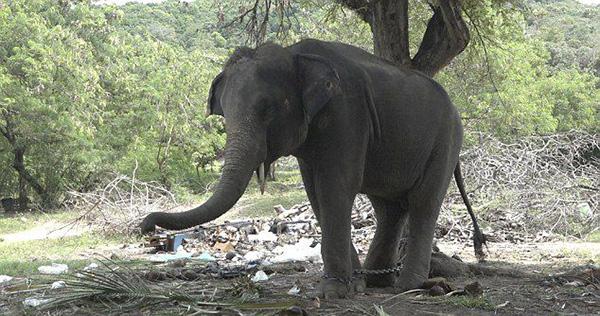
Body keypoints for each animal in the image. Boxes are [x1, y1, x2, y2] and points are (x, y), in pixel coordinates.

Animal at [142, 39, 488, 298]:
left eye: (269, 108)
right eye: (224, 113)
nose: (146, 226)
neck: (295, 54)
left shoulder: (347, 113)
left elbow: (336, 186)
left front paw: (333, 292)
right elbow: (316, 194)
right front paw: (353, 285)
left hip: (446, 142)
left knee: (423, 203)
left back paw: (409, 287)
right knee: (389, 208)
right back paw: (378, 282)